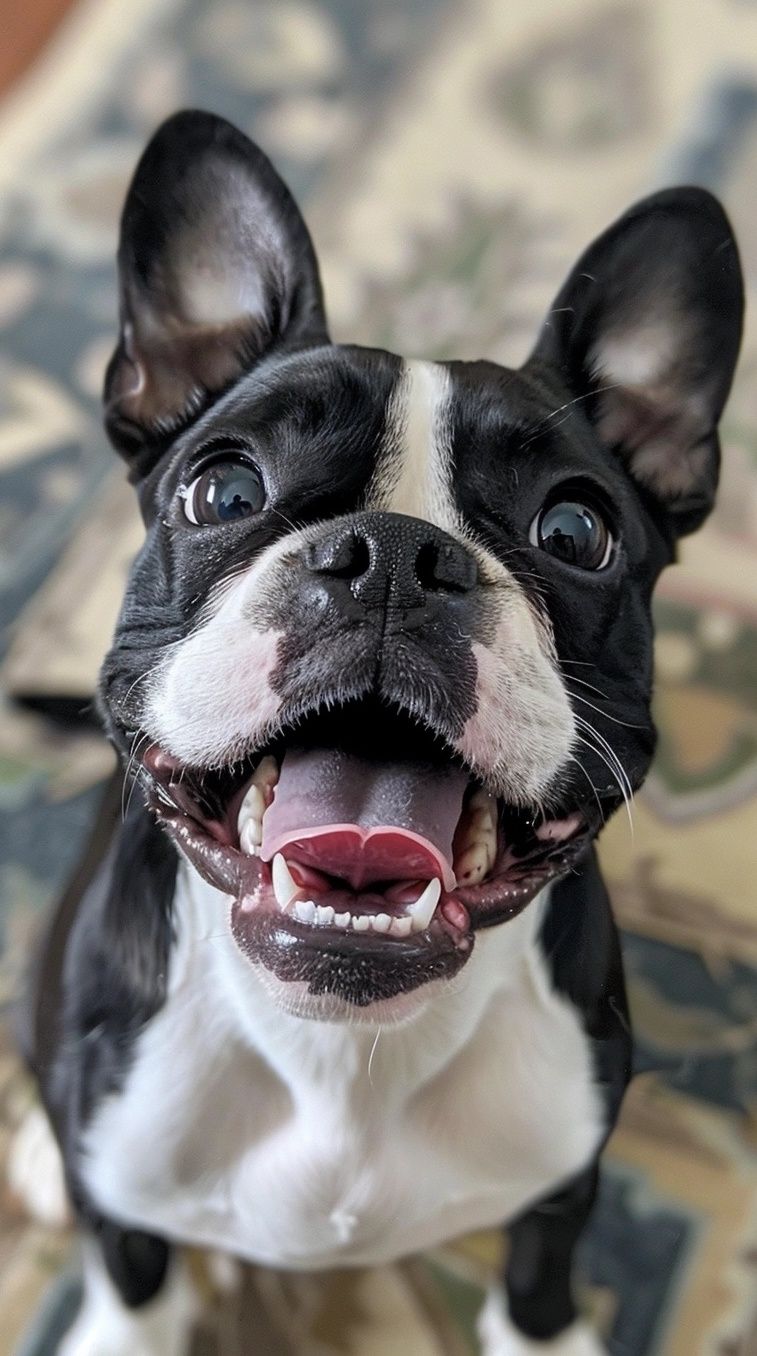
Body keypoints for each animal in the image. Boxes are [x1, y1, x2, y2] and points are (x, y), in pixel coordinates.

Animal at [20, 113, 743, 1356]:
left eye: (576, 530)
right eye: (223, 492)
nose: (396, 556)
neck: (342, 1047)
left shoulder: (563, 1184)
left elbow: (540, 1284)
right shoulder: (124, 1176)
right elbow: (132, 1270)